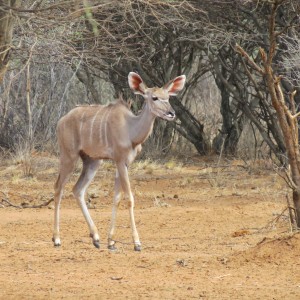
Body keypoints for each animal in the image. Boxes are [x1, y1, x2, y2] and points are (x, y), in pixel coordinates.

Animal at [52, 72, 186, 251]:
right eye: (154, 97)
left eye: (168, 97)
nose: (171, 113)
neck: (130, 130)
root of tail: (61, 121)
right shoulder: (120, 161)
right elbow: (129, 198)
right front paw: (137, 243)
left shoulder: (123, 163)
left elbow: (116, 197)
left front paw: (111, 241)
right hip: (69, 157)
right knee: (58, 188)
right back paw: (57, 239)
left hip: (93, 161)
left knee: (77, 189)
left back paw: (96, 238)